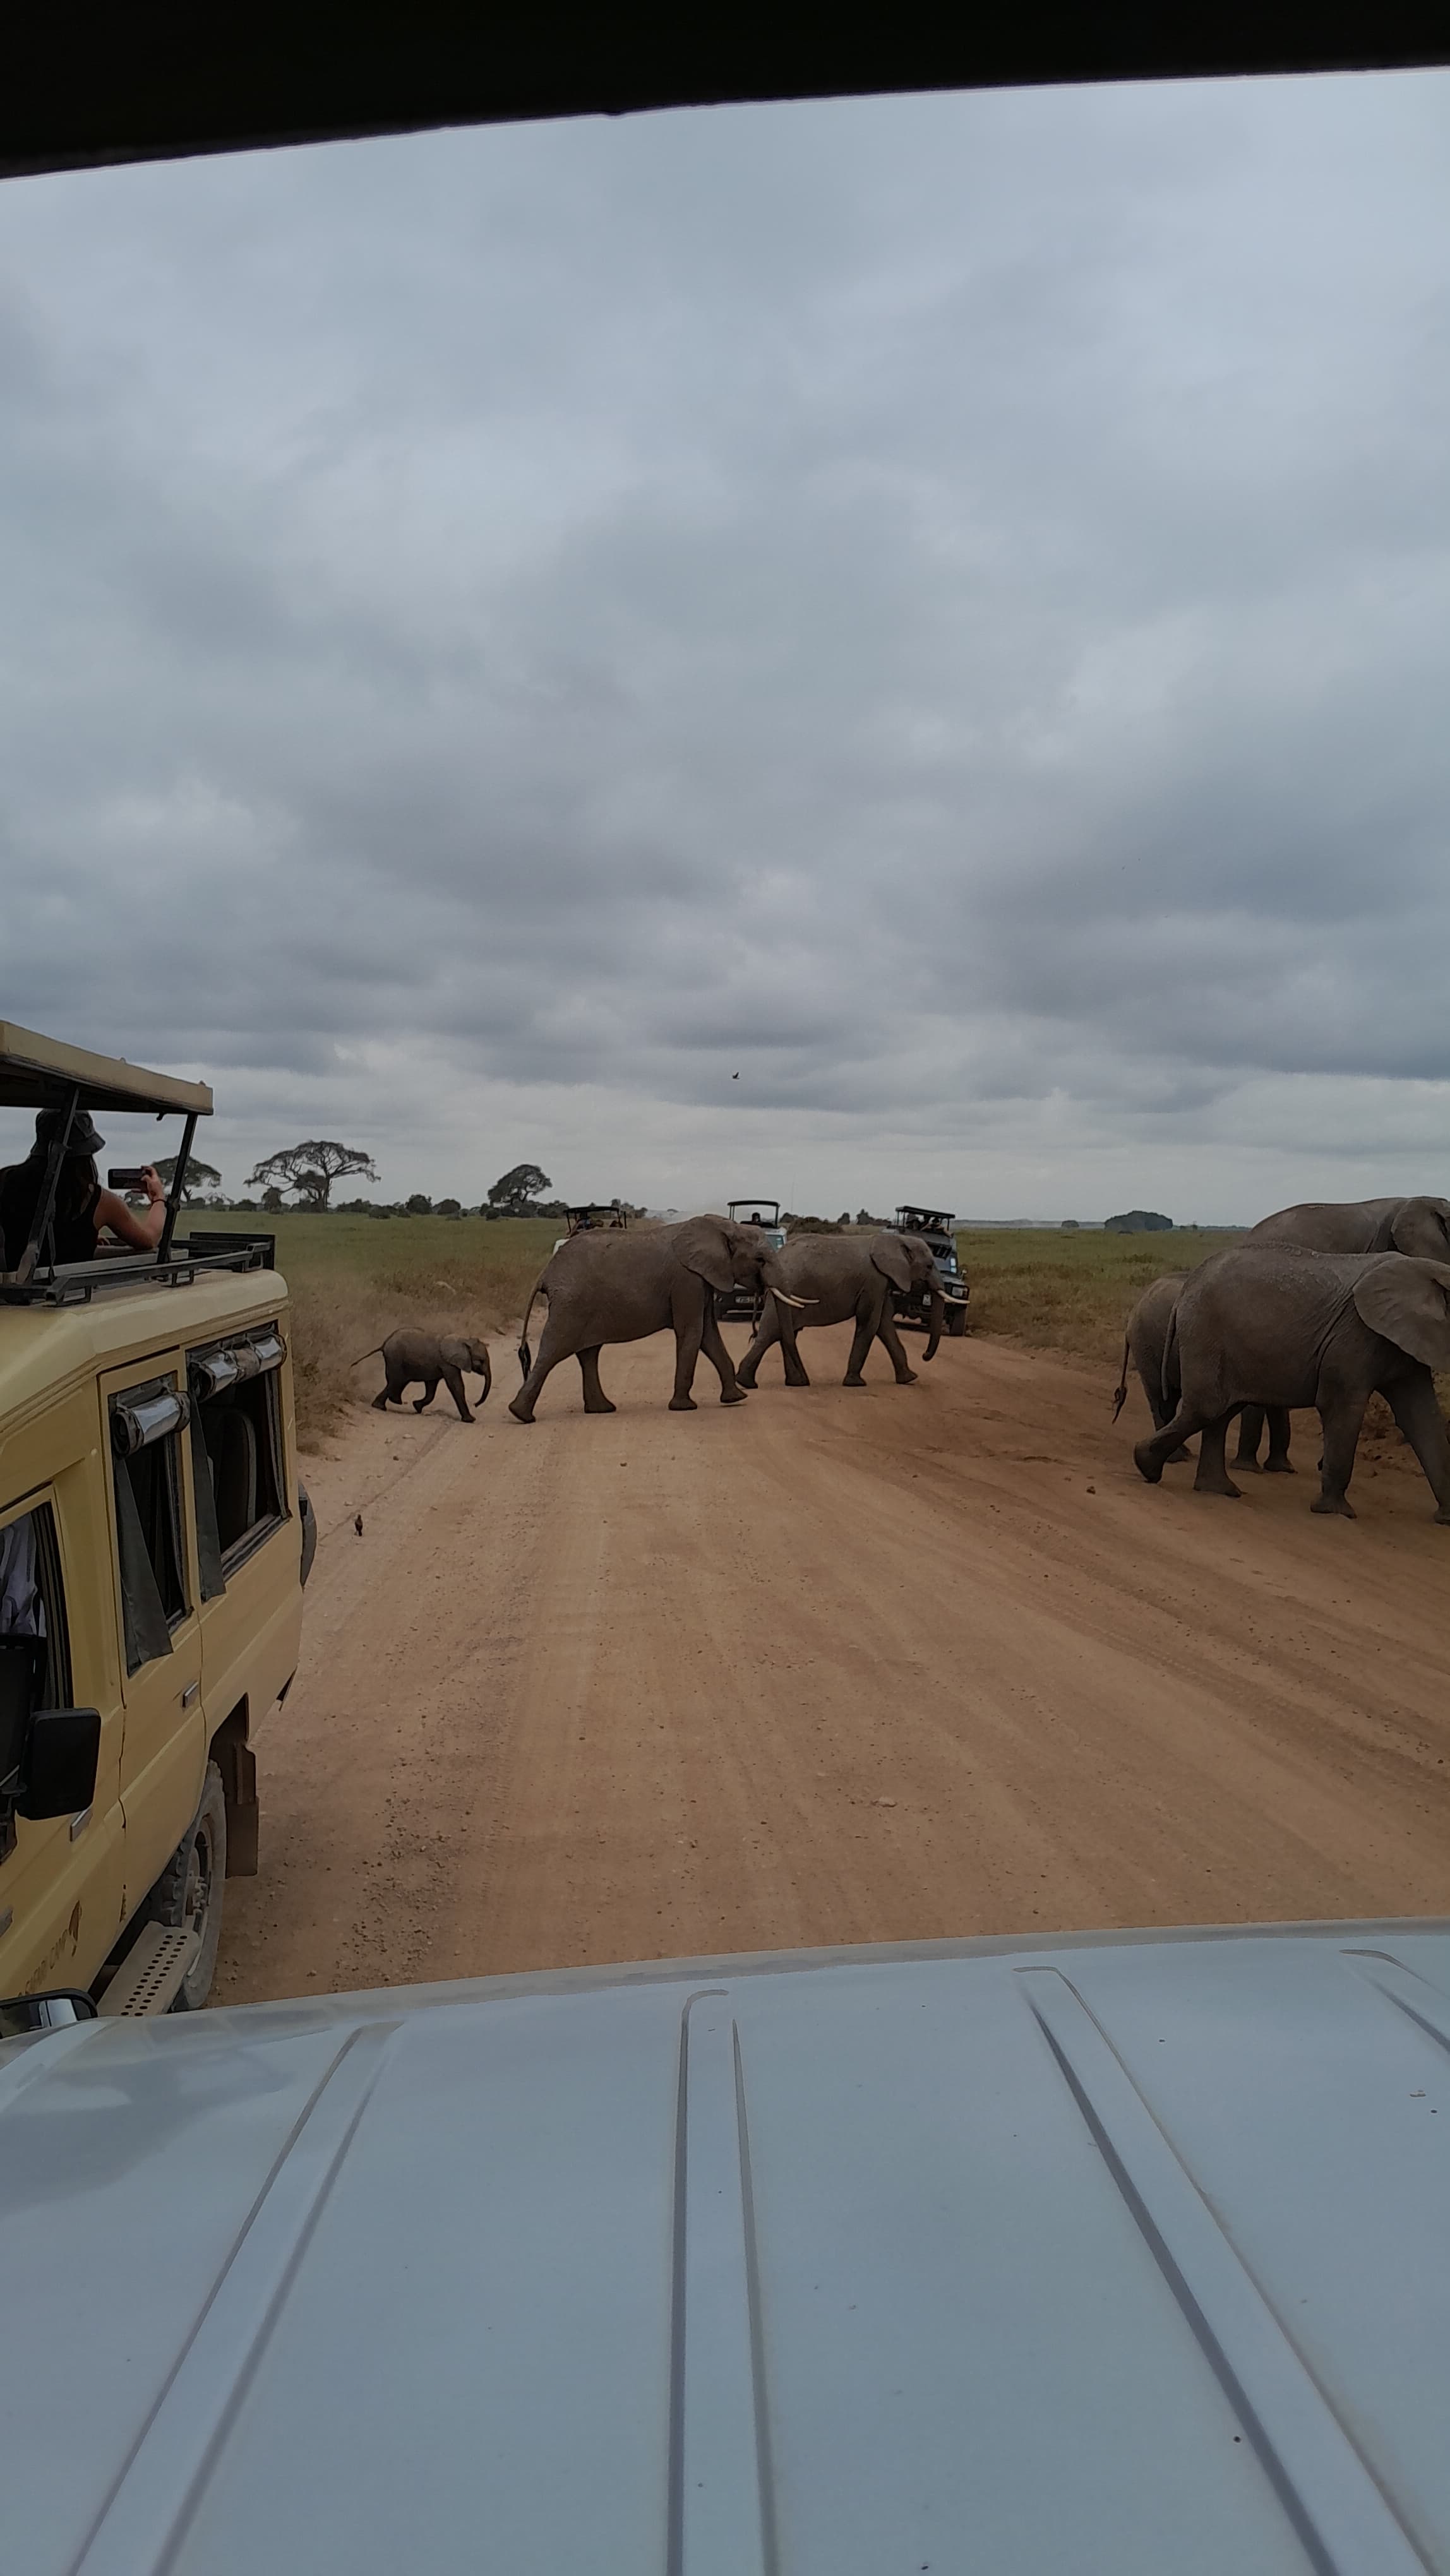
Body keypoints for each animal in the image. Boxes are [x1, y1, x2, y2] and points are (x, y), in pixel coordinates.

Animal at [358, 1330, 492, 1422]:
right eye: (481, 1361)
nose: (475, 1404)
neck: (464, 1340)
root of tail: (384, 1344)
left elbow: (431, 1389)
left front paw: (417, 1407)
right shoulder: (448, 1364)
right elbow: (456, 1386)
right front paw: (471, 1420)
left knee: (397, 1382)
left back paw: (391, 1403)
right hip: (395, 1359)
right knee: (396, 1381)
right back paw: (382, 1406)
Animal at [508, 1215, 808, 1422]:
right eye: (760, 1259)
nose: (800, 1382)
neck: (721, 1227)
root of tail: (546, 1274)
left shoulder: (702, 1281)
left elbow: (709, 1334)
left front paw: (737, 1398)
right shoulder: (687, 1280)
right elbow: (693, 1332)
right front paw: (685, 1408)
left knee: (588, 1353)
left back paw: (602, 1410)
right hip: (571, 1306)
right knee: (553, 1350)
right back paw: (521, 1415)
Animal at [735, 1230, 943, 1388]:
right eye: (929, 1266)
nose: (925, 1356)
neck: (896, 1239)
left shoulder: (881, 1284)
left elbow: (885, 1326)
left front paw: (910, 1378)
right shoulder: (874, 1282)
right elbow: (871, 1324)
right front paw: (856, 1383)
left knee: (784, 1334)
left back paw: (795, 1383)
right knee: (771, 1333)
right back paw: (747, 1383)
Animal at [1132, 1244, 1450, 1521]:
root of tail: (1185, 1290)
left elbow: (1421, 1417)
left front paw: (1446, 1519)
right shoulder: (1354, 1335)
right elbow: (1341, 1406)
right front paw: (1336, 1513)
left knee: (1220, 1413)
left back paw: (1218, 1490)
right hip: (1206, 1334)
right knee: (1207, 1408)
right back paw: (1147, 1466)